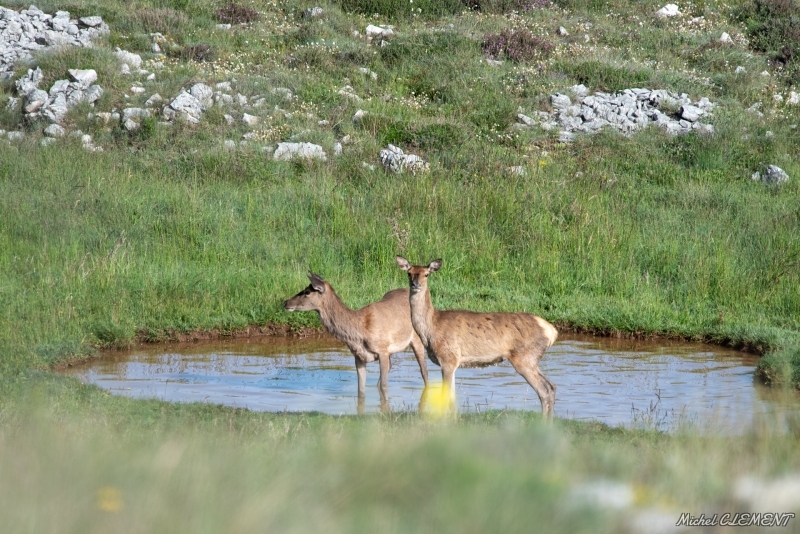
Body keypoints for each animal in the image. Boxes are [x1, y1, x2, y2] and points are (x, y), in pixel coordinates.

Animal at [282, 274, 428, 412]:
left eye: (307, 292)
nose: (285, 302)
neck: (359, 332)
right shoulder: (359, 356)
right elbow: (361, 390)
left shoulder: (382, 350)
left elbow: (384, 386)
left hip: (417, 338)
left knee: (424, 371)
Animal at [396, 258, 560, 420]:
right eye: (409, 273)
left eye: (427, 274)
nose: (415, 284)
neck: (431, 329)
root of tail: (551, 331)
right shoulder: (452, 362)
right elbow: (453, 398)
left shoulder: (449, 358)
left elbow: (447, 396)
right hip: (532, 358)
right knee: (551, 386)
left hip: (524, 357)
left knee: (544, 390)